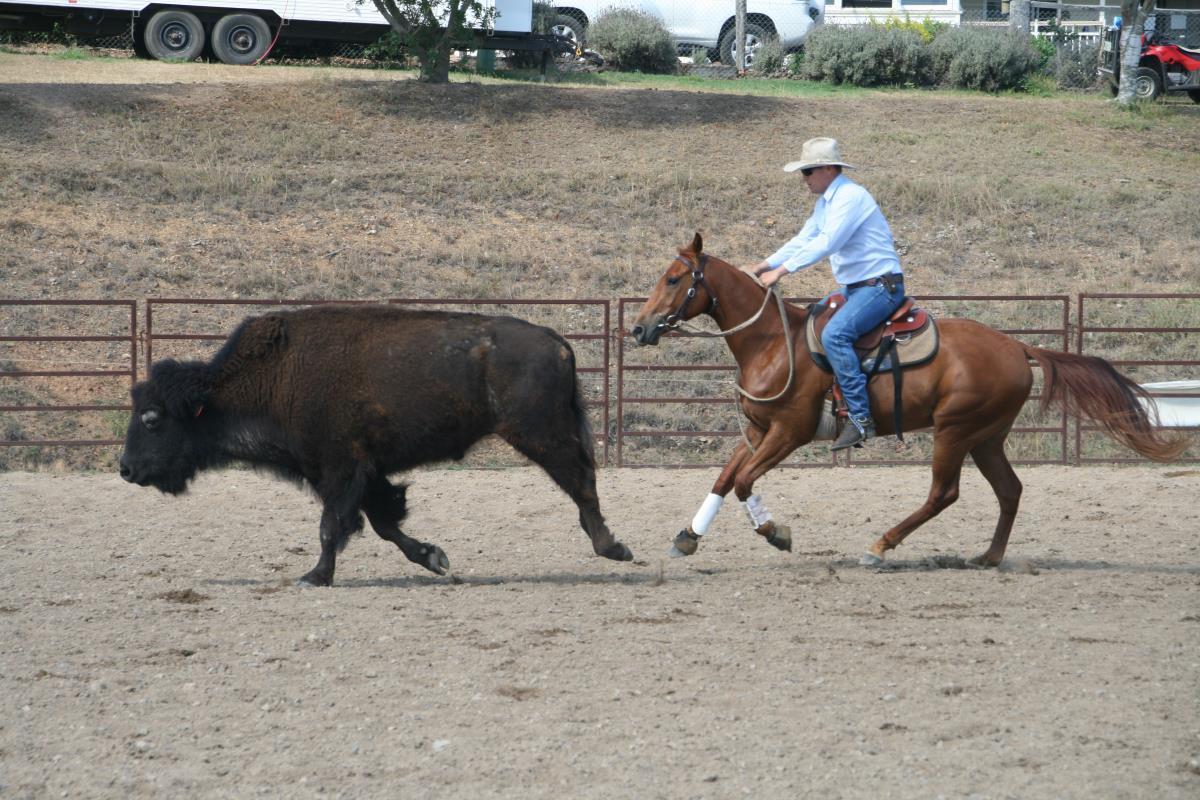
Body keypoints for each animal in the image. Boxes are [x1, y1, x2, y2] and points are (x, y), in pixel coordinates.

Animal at [119, 305, 633, 586]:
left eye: (152, 419)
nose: (126, 469)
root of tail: (557, 341)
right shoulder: (364, 471)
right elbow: (385, 523)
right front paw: (434, 558)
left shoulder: (339, 470)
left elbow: (332, 527)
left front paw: (314, 577)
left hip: (541, 434)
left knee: (581, 482)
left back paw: (615, 549)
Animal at [629, 233, 1187, 567]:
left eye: (674, 279)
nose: (639, 328)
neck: (772, 341)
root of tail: (1018, 346)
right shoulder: (758, 431)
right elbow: (725, 478)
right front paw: (688, 536)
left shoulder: (790, 432)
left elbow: (745, 481)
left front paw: (776, 533)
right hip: (987, 437)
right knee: (1009, 491)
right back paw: (988, 557)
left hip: (955, 430)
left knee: (944, 493)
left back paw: (880, 546)